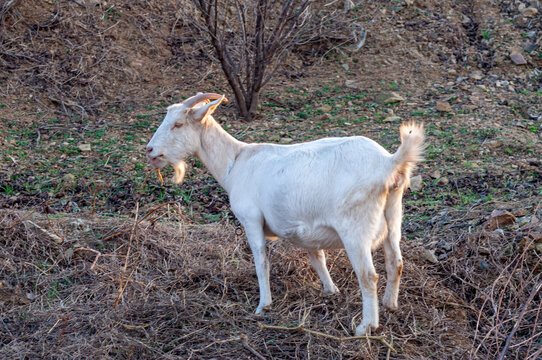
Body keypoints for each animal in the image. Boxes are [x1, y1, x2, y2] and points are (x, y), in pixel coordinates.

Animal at [148, 93, 424, 334]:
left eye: (178, 124)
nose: (150, 151)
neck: (235, 161)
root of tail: (389, 163)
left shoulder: (251, 219)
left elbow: (261, 261)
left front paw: (263, 305)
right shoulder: (309, 230)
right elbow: (317, 258)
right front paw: (330, 290)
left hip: (355, 228)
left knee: (368, 275)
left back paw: (366, 326)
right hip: (393, 216)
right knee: (396, 262)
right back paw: (390, 305)